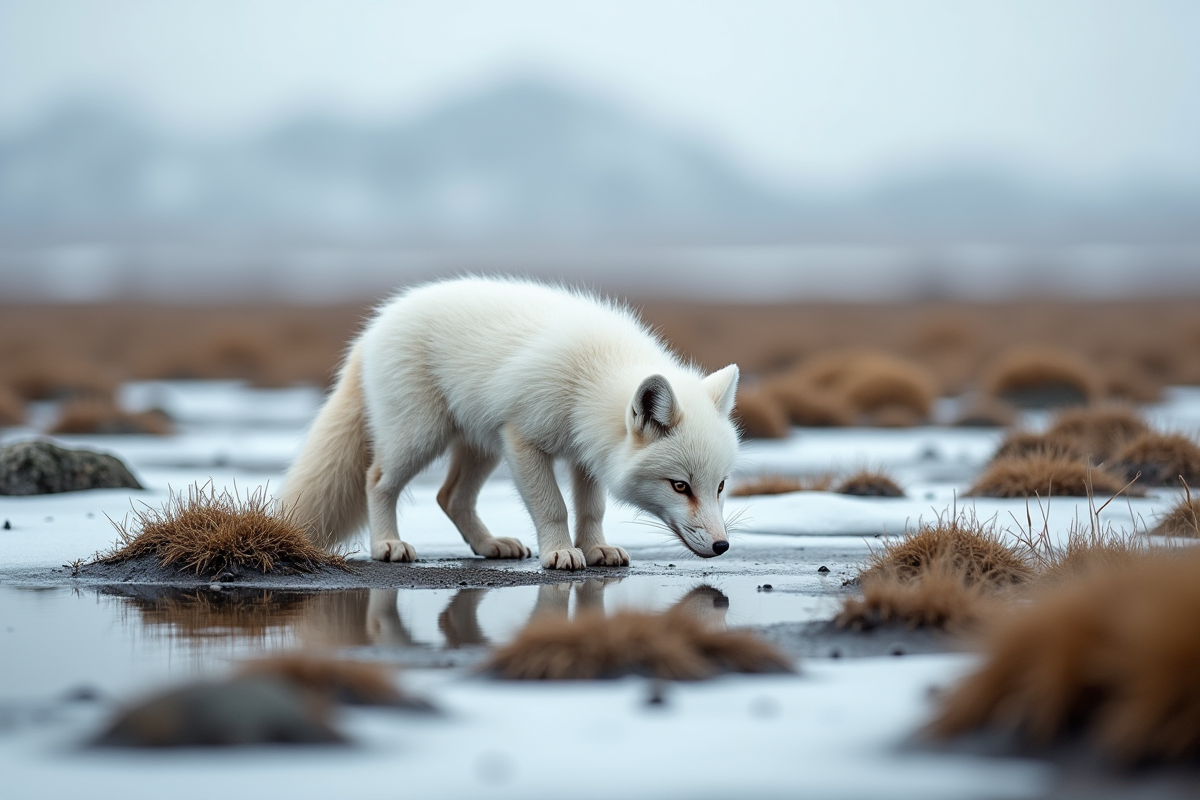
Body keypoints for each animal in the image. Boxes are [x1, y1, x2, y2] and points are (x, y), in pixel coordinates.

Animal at [281, 277, 741, 570]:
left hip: (482, 446)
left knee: (450, 497)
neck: (593, 376)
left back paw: (489, 545)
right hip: (420, 437)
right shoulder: (523, 439)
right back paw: (387, 544)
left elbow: (592, 509)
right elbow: (553, 507)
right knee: (377, 480)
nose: (722, 546)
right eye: (679, 486)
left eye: (720, 486)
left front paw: (596, 549)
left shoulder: (585, 454)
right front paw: (560, 553)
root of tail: (375, 325)